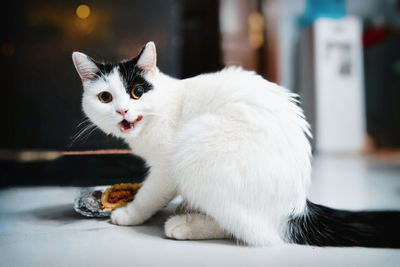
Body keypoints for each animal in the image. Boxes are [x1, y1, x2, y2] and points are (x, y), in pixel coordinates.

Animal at [72, 40, 400, 248]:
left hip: (197, 145)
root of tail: (295, 210)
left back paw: (186, 224)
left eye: (137, 92)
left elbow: (149, 195)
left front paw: (129, 214)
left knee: (254, 232)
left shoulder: (166, 167)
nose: (122, 111)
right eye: (105, 97)